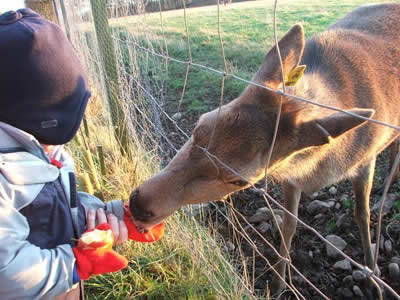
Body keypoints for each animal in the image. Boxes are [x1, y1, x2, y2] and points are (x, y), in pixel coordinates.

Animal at [127, 3, 400, 296]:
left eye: (239, 180)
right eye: (199, 126)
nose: (139, 204)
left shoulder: (366, 160)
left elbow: (362, 214)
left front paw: (374, 278)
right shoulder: (291, 177)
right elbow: (288, 224)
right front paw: (278, 283)